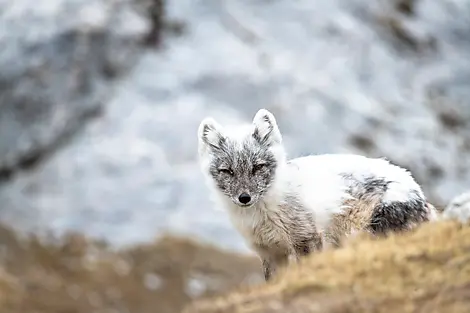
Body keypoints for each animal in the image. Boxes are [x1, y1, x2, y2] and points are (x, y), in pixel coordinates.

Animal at [196, 108, 438, 280]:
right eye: (227, 171)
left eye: (258, 167)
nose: (244, 198)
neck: (261, 215)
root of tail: (423, 198)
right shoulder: (269, 252)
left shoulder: (306, 238)